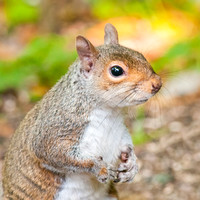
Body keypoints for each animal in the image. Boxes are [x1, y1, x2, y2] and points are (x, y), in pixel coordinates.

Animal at [2, 22, 162, 199]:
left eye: (141, 55)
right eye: (116, 71)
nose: (157, 83)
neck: (109, 112)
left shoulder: (119, 132)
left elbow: (126, 145)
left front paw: (132, 165)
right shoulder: (54, 129)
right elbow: (54, 153)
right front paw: (99, 167)